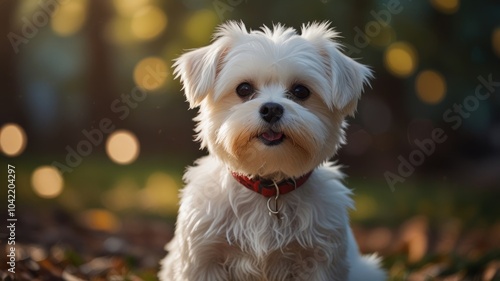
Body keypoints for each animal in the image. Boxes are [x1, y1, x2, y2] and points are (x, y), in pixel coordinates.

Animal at [160, 21, 386, 280]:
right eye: (244, 88)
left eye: (301, 91)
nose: (271, 109)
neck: (268, 185)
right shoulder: (203, 259)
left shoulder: (320, 260)